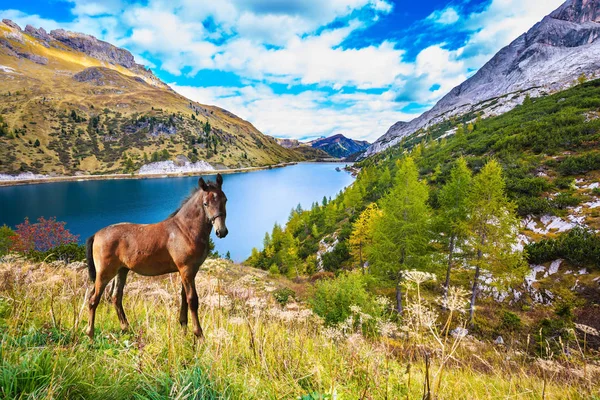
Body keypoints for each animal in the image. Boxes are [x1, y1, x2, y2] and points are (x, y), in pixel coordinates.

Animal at [83, 173, 226, 340]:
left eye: (225, 200)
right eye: (205, 203)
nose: (221, 231)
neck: (185, 230)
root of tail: (96, 235)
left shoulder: (188, 271)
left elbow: (184, 298)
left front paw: (183, 328)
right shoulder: (186, 270)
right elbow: (192, 300)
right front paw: (199, 335)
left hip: (122, 271)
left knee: (116, 297)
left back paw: (126, 328)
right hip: (104, 273)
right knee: (93, 299)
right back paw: (90, 334)